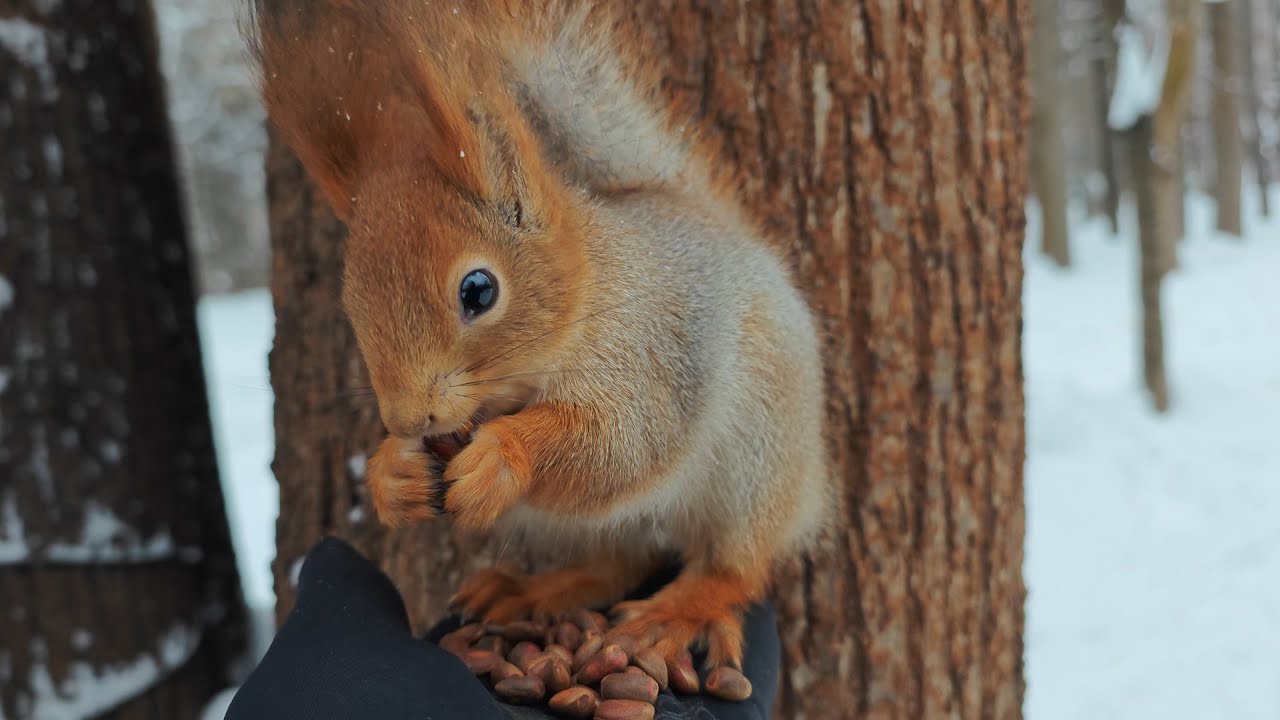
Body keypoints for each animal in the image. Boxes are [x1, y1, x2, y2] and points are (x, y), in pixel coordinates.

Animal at [246, 0, 831, 669]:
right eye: (351, 304)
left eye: (478, 290)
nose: (408, 418)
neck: (587, 296)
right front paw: (392, 472)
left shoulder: (650, 353)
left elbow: (620, 444)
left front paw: (502, 456)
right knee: (617, 563)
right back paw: (532, 590)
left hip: (757, 461)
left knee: (734, 566)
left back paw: (676, 613)